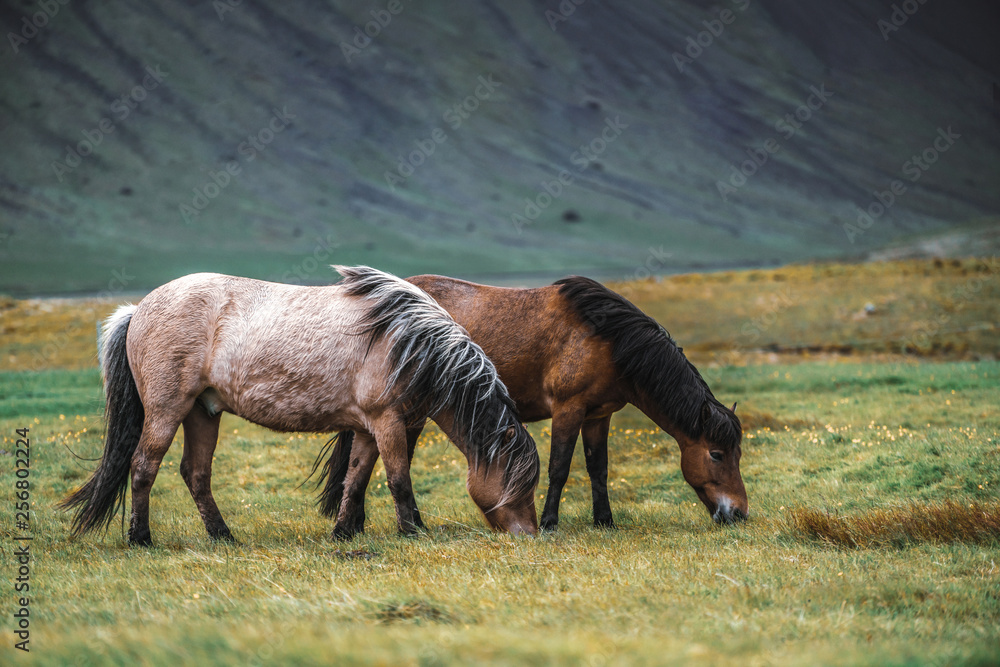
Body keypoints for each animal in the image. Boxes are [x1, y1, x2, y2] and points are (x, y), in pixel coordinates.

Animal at [58, 264, 544, 544]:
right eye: (518, 481)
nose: (531, 534)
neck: (409, 343)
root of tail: (138, 309)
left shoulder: (368, 428)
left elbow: (356, 480)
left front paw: (344, 533)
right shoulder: (388, 423)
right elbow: (399, 479)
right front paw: (413, 532)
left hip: (202, 413)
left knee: (195, 475)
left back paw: (223, 537)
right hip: (166, 410)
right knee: (144, 466)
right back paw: (140, 539)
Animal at [324, 274, 748, 536]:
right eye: (716, 453)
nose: (740, 513)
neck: (608, 341)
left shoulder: (600, 415)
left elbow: (598, 469)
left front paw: (605, 521)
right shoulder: (568, 409)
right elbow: (560, 468)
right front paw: (549, 523)